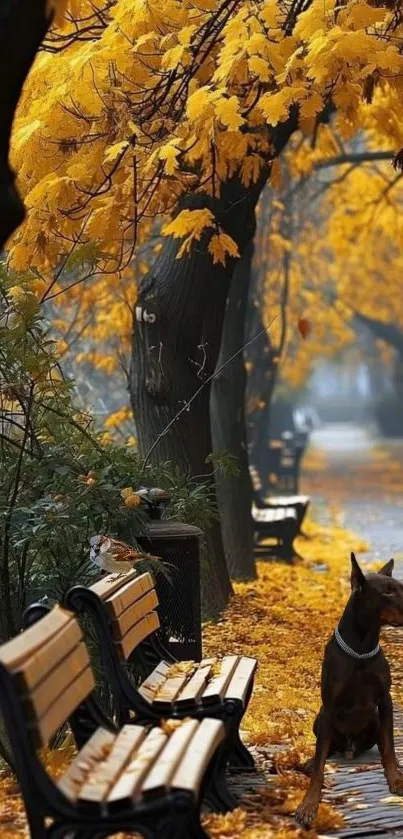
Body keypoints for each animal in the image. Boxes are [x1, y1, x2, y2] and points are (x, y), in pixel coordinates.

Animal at [296, 552, 403, 828]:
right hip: (319, 718)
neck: (361, 648)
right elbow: (320, 764)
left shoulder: (385, 699)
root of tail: (350, 748)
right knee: (326, 749)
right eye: (387, 592)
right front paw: (309, 803)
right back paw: (310, 761)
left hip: (374, 718)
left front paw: (395, 778)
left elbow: (390, 747)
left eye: (401, 588)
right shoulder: (330, 705)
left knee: (379, 742)